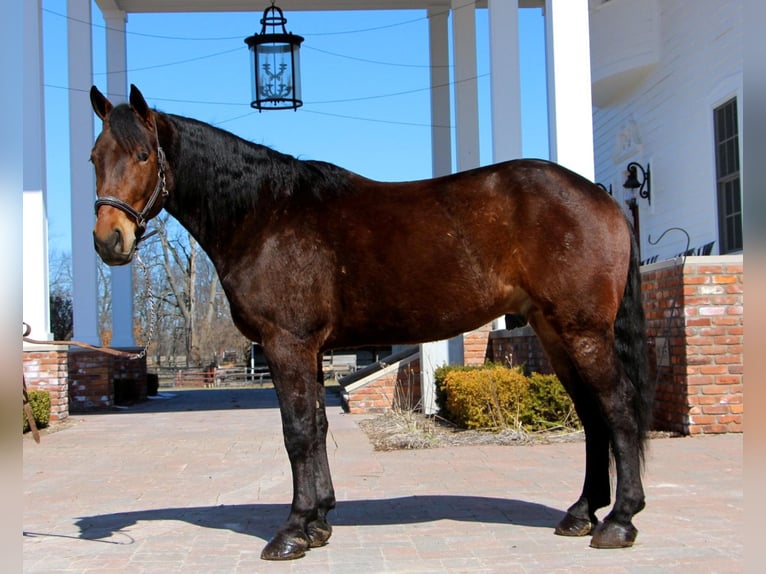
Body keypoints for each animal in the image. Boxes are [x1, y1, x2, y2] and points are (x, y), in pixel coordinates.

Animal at [90, 85, 656, 564]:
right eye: (96, 157)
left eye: (143, 156)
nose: (108, 240)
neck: (265, 215)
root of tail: (601, 197)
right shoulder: (310, 349)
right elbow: (317, 426)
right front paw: (318, 522)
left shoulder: (286, 343)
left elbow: (297, 431)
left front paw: (292, 531)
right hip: (554, 331)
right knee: (592, 414)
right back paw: (581, 513)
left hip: (583, 331)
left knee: (618, 408)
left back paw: (619, 521)